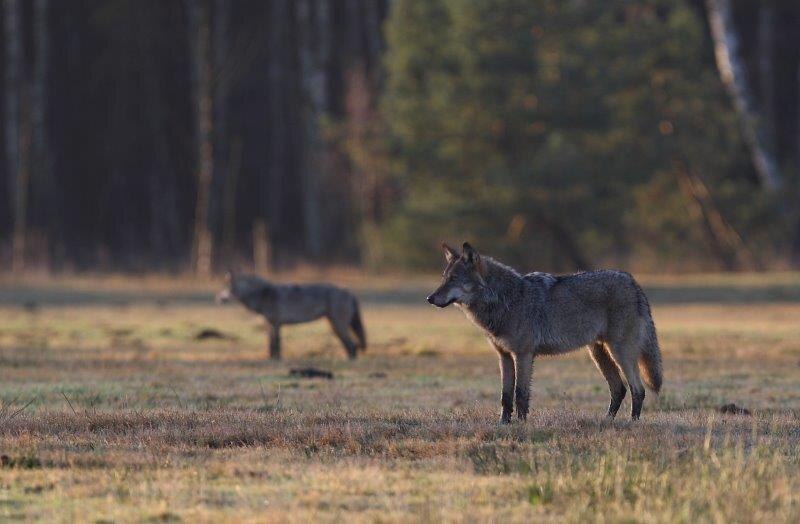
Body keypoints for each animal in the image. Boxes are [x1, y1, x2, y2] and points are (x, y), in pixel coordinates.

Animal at [219, 270, 368, 360]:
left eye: (226, 288)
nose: (218, 298)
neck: (264, 295)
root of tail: (349, 292)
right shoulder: (270, 324)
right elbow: (271, 344)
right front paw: (272, 359)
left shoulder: (275, 324)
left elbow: (276, 344)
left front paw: (276, 360)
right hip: (335, 326)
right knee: (351, 345)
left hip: (338, 326)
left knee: (352, 345)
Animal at [424, 244, 664, 424]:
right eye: (444, 277)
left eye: (454, 279)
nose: (429, 298)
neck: (504, 300)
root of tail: (633, 282)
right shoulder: (504, 357)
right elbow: (505, 396)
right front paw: (503, 424)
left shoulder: (523, 355)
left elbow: (520, 394)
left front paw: (521, 424)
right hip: (598, 354)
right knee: (618, 389)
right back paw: (606, 421)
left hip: (620, 353)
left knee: (638, 389)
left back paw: (632, 423)